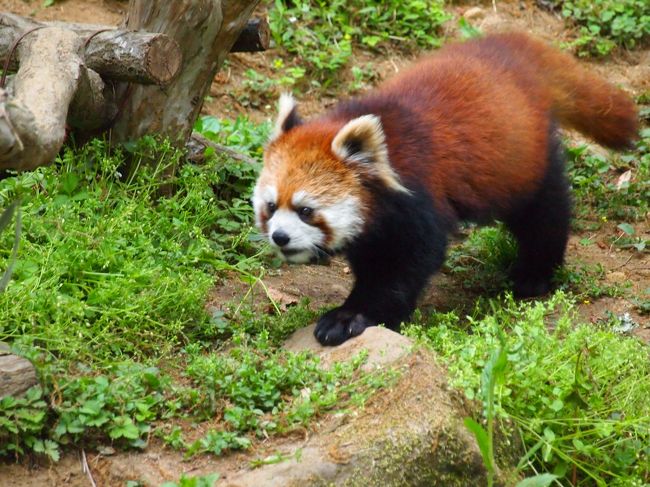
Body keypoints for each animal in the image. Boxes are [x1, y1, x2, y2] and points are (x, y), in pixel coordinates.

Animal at [251, 32, 636, 346]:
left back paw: (535, 273)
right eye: (270, 207)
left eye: (306, 210)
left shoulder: (419, 196)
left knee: (543, 212)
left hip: (521, 161)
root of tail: (513, 51)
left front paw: (351, 316)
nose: (280, 237)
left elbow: (406, 263)